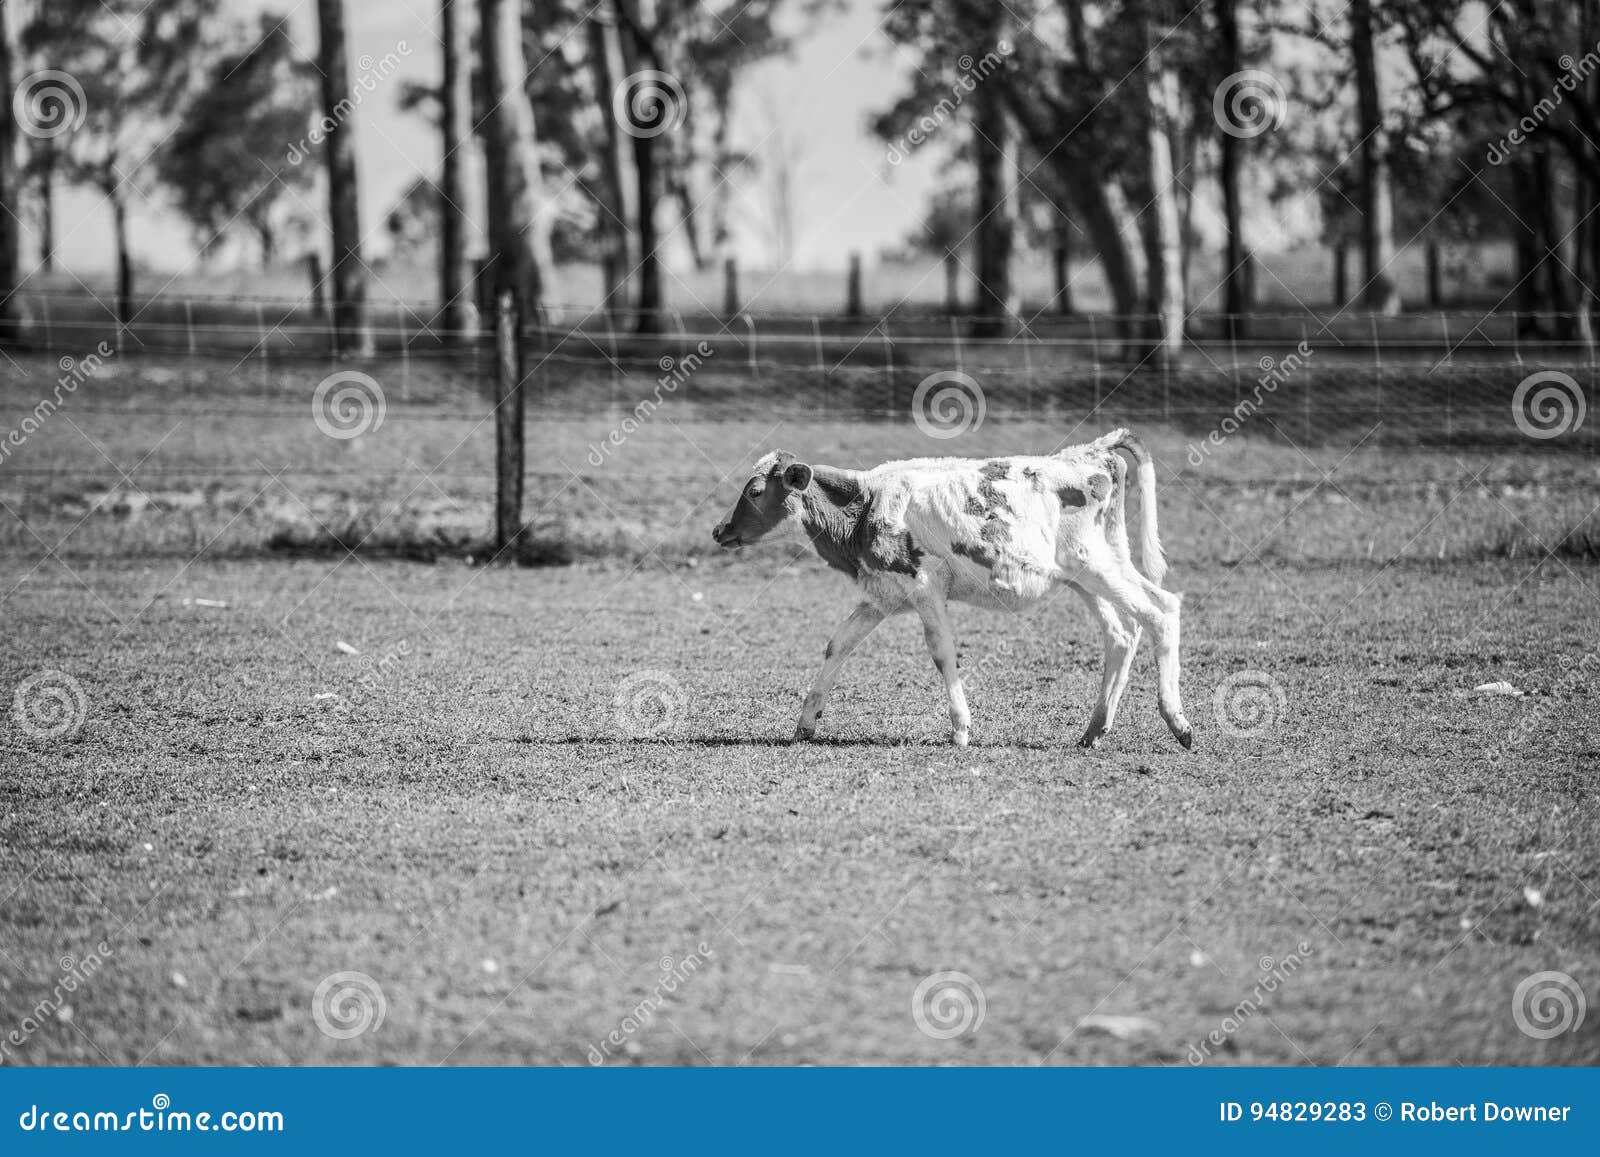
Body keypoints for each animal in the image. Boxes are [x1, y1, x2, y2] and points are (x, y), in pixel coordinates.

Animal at [710, 428, 1193, 750]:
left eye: (755, 491)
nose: (720, 530)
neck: (865, 505)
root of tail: (1090, 453)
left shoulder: (925, 589)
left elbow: (942, 653)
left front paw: (961, 728)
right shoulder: (882, 594)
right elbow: (838, 645)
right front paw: (806, 722)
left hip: (1096, 565)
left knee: (1161, 610)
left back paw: (1178, 722)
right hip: (1085, 575)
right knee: (1122, 634)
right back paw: (1095, 729)